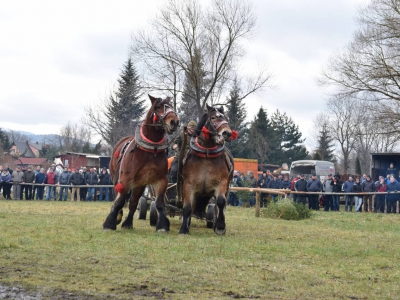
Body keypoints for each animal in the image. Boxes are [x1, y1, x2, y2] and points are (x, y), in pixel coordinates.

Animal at [102, 95, 179, 231]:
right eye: (157, 107)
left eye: (170, 107)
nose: (174, 121)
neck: (151, 150)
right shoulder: (126, 179)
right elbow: (120, 201)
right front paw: (110, 223)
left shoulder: (161, 179)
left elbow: (159, 203)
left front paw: (162, 226)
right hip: (116, 178)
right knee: (118, 196)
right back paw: (118, 216)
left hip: (140, 184)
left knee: (133, 202)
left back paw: (128, 223)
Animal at [179, 104, 234, 236]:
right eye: (213, 117)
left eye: (226, 118)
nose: (227, 133)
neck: (206, 154)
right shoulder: (188, 185)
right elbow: (187, 207)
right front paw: (183, 228)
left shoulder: (222, 183)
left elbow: (220, 202)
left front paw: (220, 227)